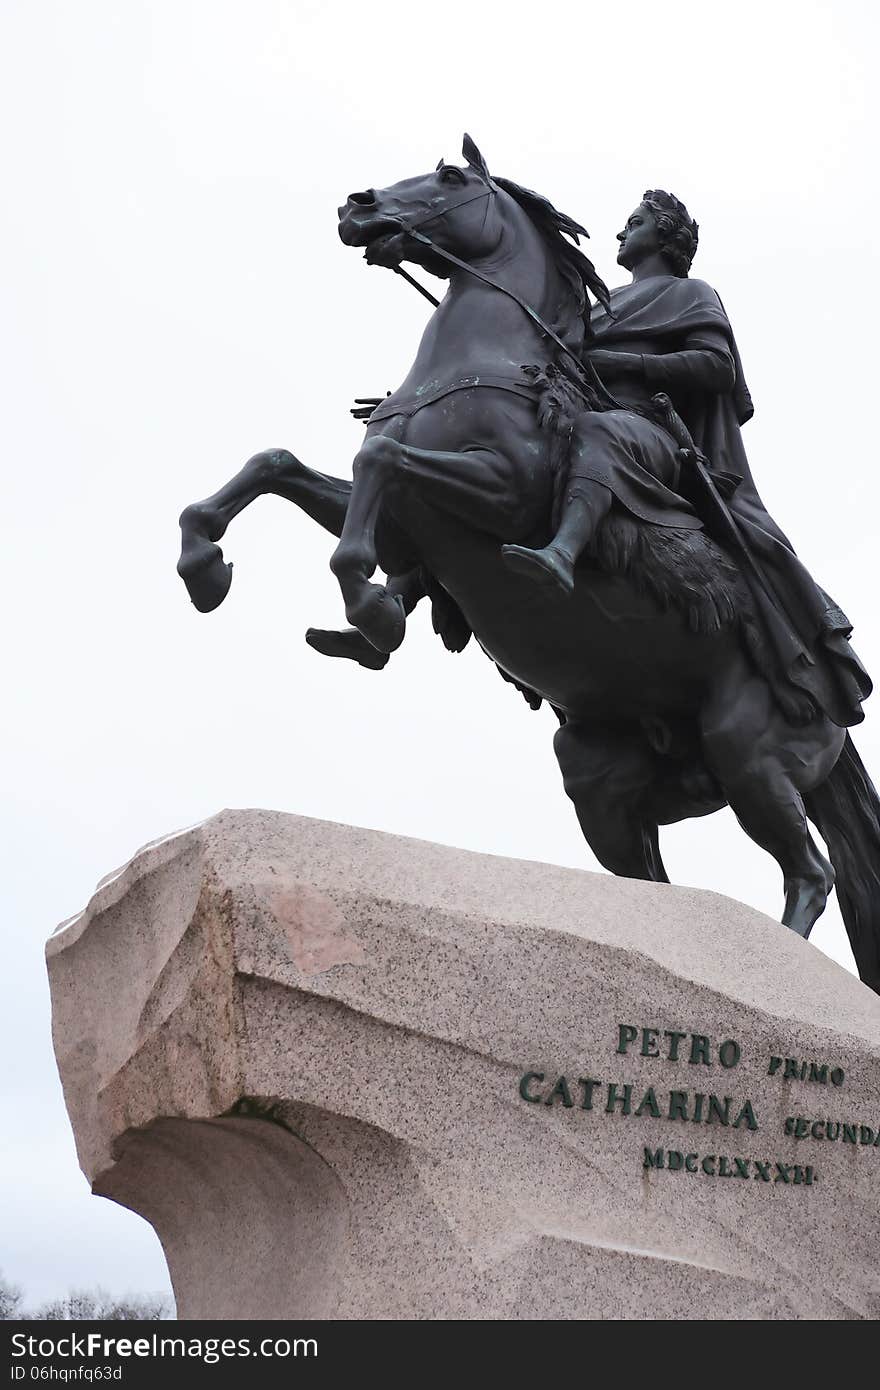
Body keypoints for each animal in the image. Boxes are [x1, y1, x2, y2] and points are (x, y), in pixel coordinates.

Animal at [176, 135, 878, 995]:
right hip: (606, 779)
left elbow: (378, 464)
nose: (356, 206)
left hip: (751, 758)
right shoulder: (408, 527)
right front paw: (205, 563)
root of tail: (842, 714)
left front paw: (369, 608)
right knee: (654, 878)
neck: (477, 362)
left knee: (810, 872)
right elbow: (278, 465)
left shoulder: (498, 493)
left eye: (448, 176)